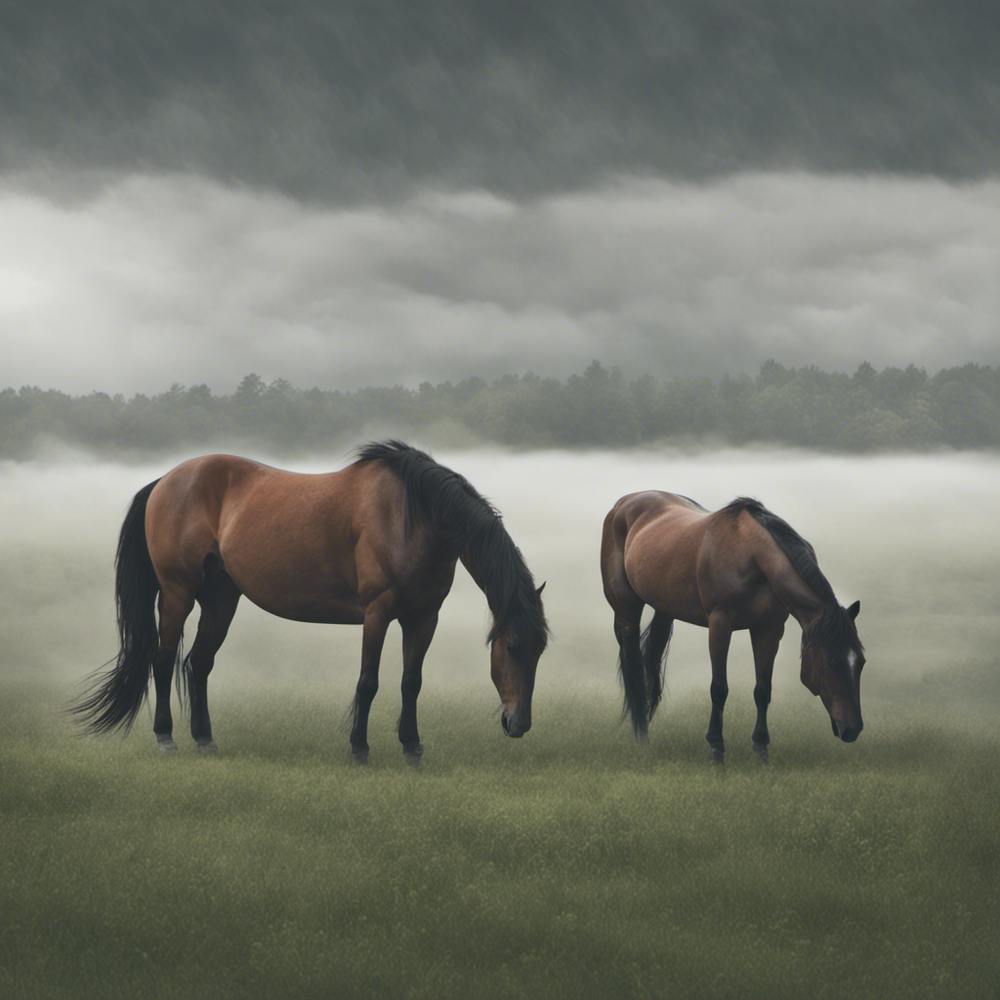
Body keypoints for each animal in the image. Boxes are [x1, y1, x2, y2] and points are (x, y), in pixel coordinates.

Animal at [74, 441, 549, 763]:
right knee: (163, 659)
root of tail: (164, 482)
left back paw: (205, 739)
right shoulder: (377, 613)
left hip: (222, 599)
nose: (519, 724)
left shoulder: (423, 618)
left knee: (198, 664)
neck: (413, 516)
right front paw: (359, 748)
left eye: (540, 650)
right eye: (511, 646)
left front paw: (412, 746)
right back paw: (166, 737)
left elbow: (410, 682)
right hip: (177, 594)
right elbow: (368, 681)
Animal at [600, 492, 865, 761]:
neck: (752, 556)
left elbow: (763, 689)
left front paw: (761, 747)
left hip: (665, 609)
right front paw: (716, 747)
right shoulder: (720, 625)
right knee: (633, 666)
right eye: (831, 662)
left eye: (861, 662)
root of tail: (624, 503)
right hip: (626, 611)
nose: (853, 729)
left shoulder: (769, 629)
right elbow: (719, 688)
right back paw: (641, 736)